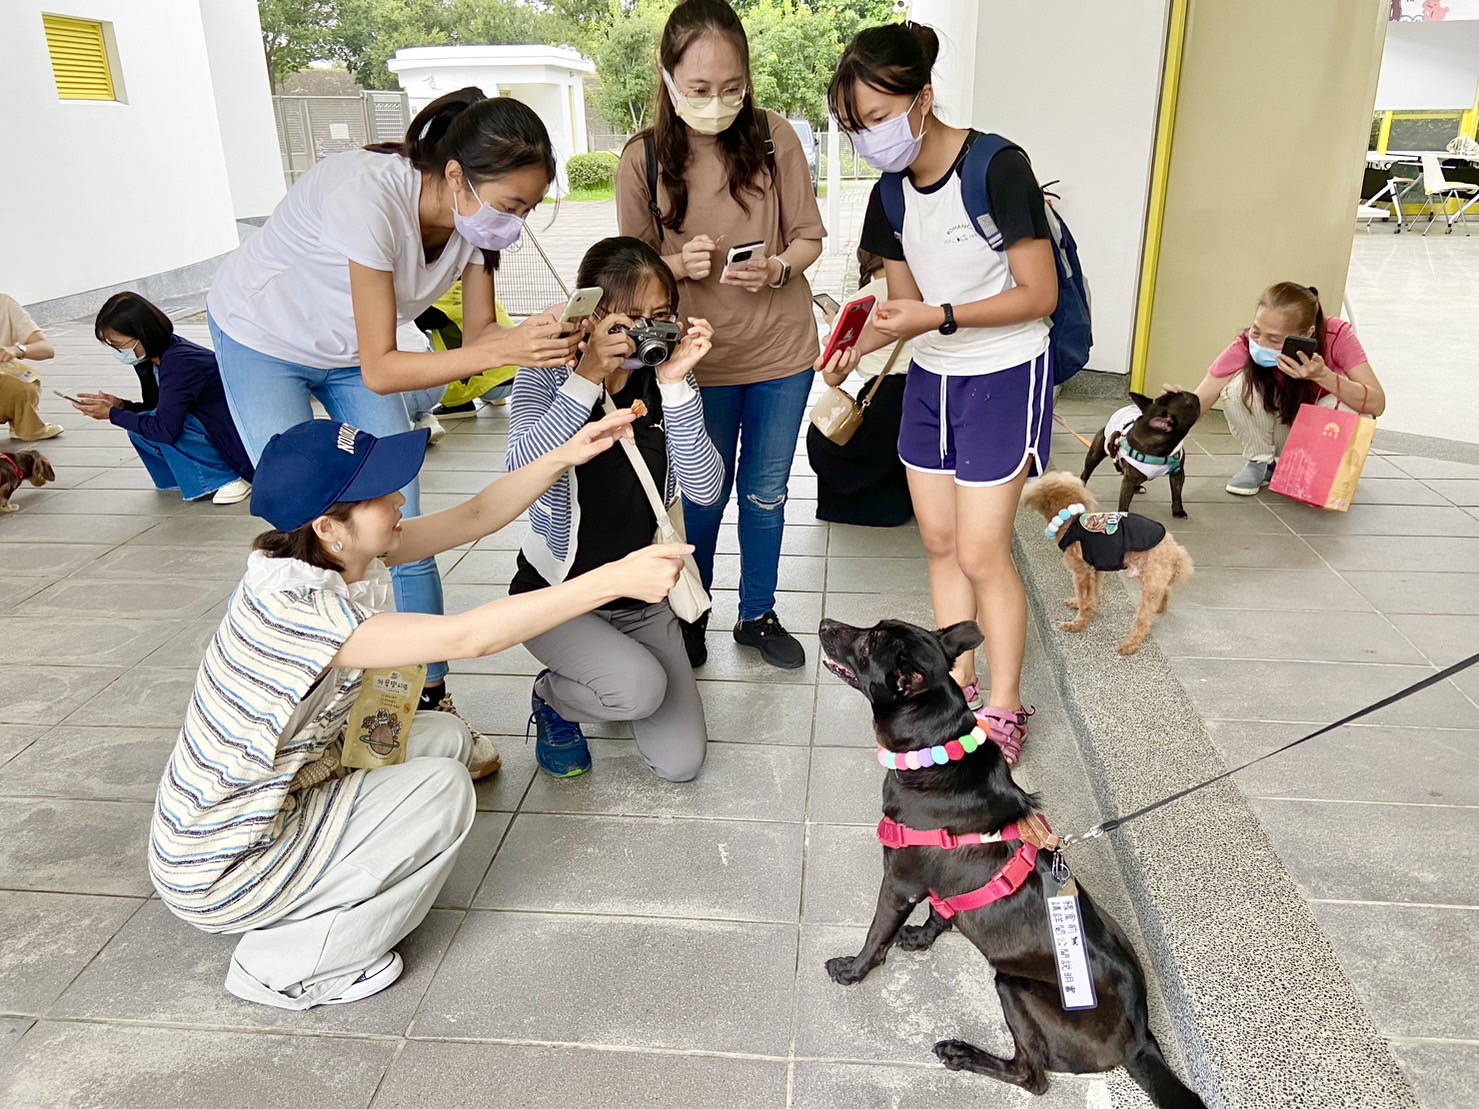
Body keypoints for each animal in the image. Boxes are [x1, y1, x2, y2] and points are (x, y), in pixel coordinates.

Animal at [816, 621, 1206, 1106]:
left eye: (868, 644)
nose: (824, 625)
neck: (936, 752)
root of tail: (1141, 1042)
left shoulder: (899, 884)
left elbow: (875, 936)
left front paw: (853, 970)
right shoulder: (940, 886)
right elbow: (941, 912)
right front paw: (923, 937)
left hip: (1012, 985)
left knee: (1032, 1077)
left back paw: (963, 1054)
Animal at [1023, 470, 1195, 659]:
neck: (1070, 521)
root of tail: (1174, 549)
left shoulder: (1082, 571)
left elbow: (1085, 598)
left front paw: (1077, 624)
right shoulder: (1095, 568)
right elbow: (1094, 594)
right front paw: (1083, 607)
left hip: (1151, 579)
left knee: (1143, 619)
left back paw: (1130, 645)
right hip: (1153, 576)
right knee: (1165, 592)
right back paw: (1160, 608)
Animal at [1082, 390, 1195, 520]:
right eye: (1186, 399)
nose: (1189, 394)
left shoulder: (1177, 472)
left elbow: (1176, 492)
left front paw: (1178, 510)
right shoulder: (1130, 478)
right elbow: (1124, 502)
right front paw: (1123, 516)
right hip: (1095, 454)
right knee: (1086, 472)